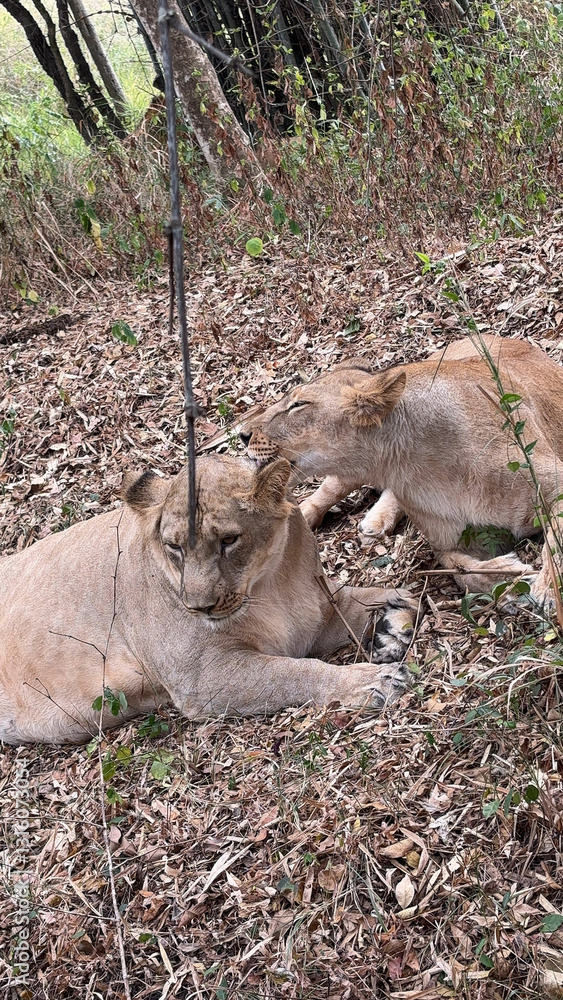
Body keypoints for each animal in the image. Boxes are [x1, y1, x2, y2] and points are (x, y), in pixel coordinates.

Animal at [0, 454, 416, 745]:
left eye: (229, 540)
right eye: (174, 547)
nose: (200, 607)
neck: (270, 587)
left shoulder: (320, 615)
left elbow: (387, 596)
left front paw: (394, 625)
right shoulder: (203, 679)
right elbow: (294, 674)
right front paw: (373, 681)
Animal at [241, 335, 563, 605]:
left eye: (298, 404)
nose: (241, 434)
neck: (409, 466)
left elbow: (556, 545)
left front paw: (547, 590)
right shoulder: (448, 541)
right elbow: (459, 570)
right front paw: (512, 579)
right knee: (330, 488)